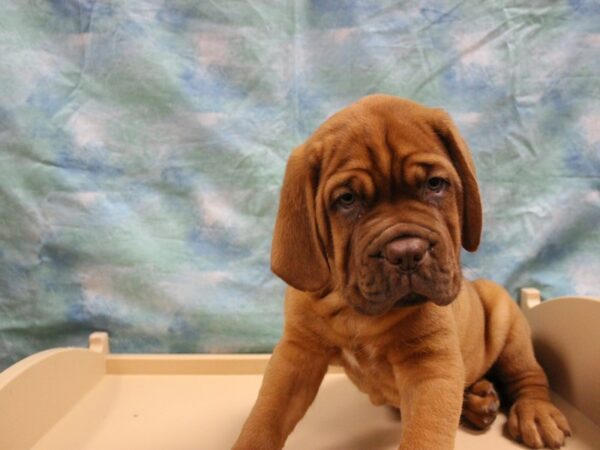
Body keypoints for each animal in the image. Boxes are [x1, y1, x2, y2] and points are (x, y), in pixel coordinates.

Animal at [232, 96, 568, 450]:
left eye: (435, 185)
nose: (407, 253)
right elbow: (265, 417)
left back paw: (535, 413)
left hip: (507, 320)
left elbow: (425, 435)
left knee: (528, 375)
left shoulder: (430, 365)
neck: (354, 311)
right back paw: (478, 401)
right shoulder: (297, 353)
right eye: (347, 199)